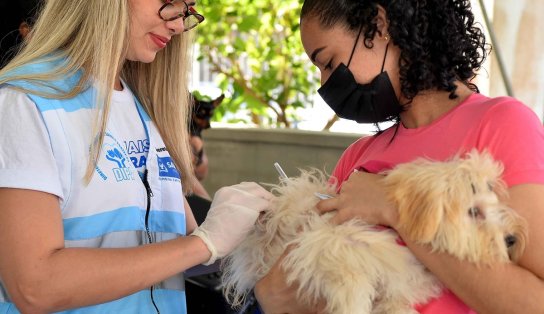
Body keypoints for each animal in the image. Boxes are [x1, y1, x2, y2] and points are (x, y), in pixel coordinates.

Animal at [221, 151, 528, 312]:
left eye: (495, 203)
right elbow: (351, 287)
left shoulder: (396, 291)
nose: (511, 239)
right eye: (473, 211)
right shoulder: (328, 245)